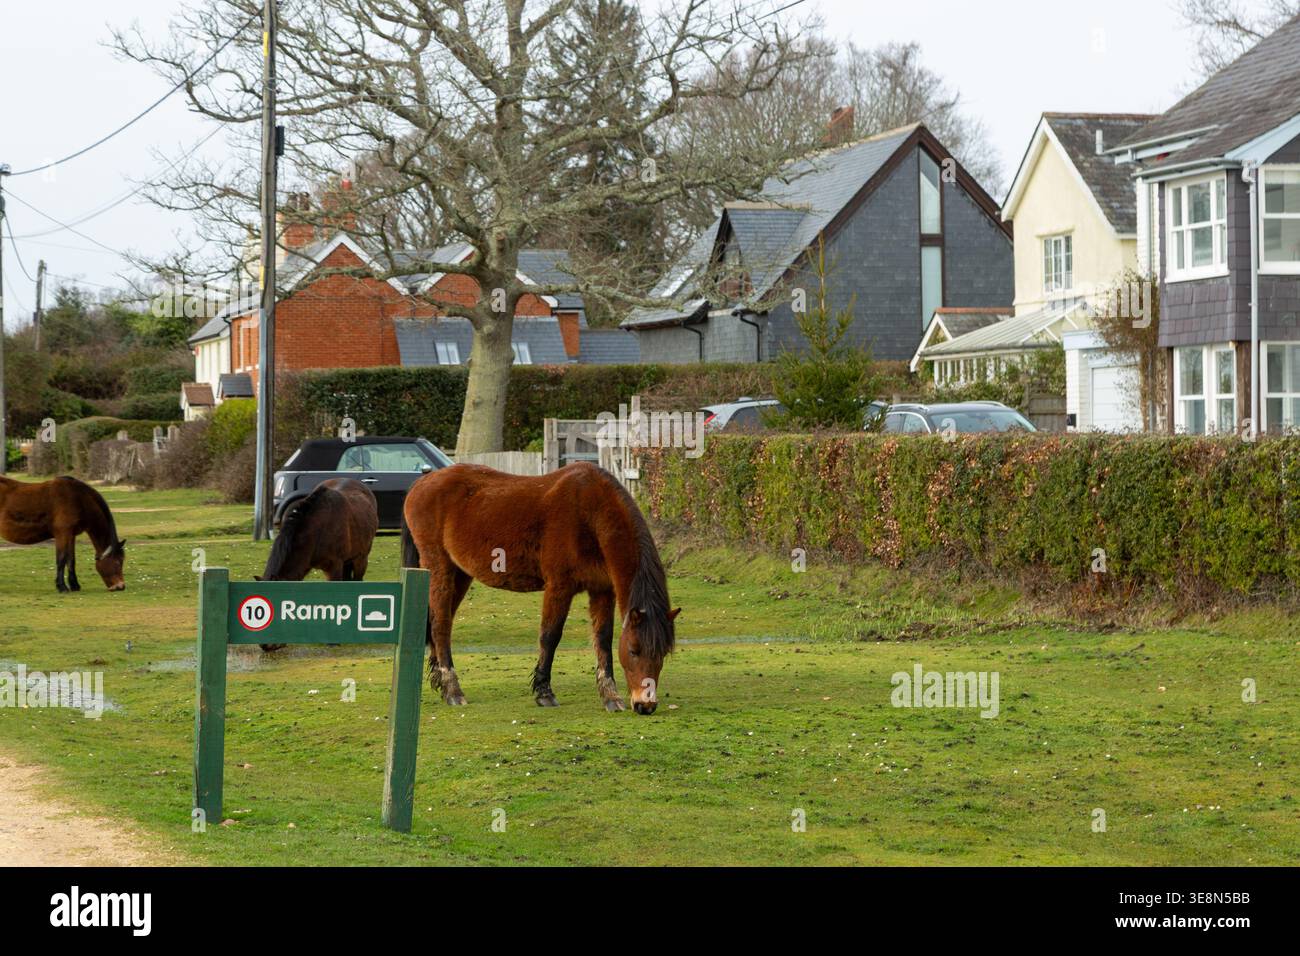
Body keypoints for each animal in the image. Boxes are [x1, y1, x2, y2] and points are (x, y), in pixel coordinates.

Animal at [402, 461, 680, 715]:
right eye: (634, 650)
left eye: (663, 653)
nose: (646, 705)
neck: (590, 512)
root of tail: (422, 482)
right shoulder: (559, 587)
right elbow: (550, 636)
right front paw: (544, 693)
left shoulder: (602, 591)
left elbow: (603, 639)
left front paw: (610, 696)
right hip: (440, 569)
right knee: (440, 626)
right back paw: (453, 690)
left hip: (460, 574)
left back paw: (441, 682)